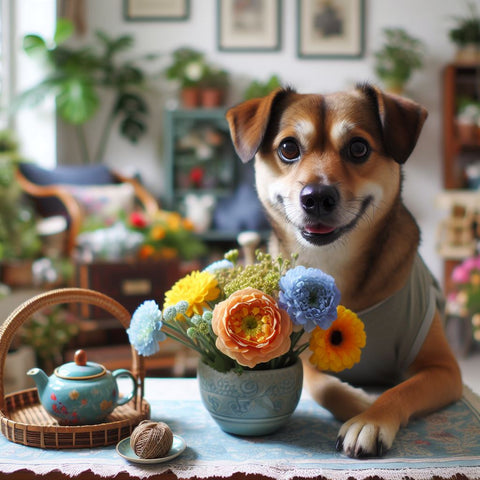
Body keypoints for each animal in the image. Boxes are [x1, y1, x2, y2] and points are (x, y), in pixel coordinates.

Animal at [227, 84, 464, 460]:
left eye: (358, 147)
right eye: (288, 148)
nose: (317, 196)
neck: (332, 264)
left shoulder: (443, 368)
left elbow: (401, 389)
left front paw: (371, 419)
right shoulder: (300, 355)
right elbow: (323, 386)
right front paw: (359, 403)